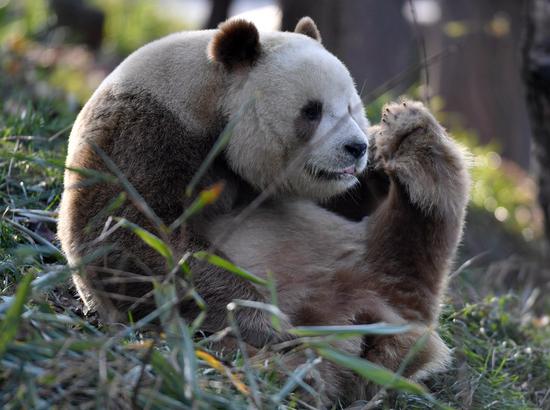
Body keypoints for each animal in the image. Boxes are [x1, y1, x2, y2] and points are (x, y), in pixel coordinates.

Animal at [59, 15, 474, 404]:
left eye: (352, 108)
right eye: (312, 111)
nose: (356, 148)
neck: (208, 98)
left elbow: (351, 196)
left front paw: (386, 146)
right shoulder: (146, 133)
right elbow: (134, 236)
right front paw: (265, 324)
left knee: (412, 247)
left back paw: (419, 147)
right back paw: (296, 366)